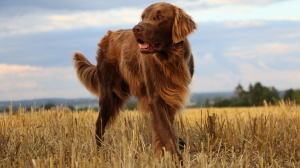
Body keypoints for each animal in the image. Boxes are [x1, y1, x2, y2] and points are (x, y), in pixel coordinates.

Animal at [73, 1, 197, 161]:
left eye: (159, 17)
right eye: (143, 17)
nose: (136, 29)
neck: (169, 60)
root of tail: (109, 35)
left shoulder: (171, 97)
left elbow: (166, 130)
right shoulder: (156, 98)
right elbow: (167, 133)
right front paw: (176, 159)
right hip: (109, 95)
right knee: (99, 126)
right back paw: (99, 155)